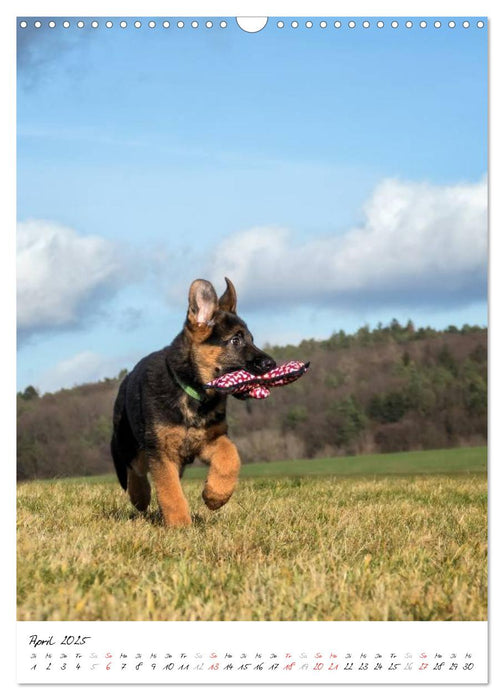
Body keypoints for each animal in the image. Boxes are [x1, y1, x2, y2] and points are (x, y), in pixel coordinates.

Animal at [110, 278, 276, 524]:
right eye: (235, 340)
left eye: (251, 340)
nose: (271, 364)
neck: (193, 392)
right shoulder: (161, 452)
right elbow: (170, 491)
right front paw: (180, 525)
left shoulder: (211, 440)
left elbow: (231, 456)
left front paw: (215, 495)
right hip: (130, 440)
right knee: (134, 468)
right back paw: (140, 496)